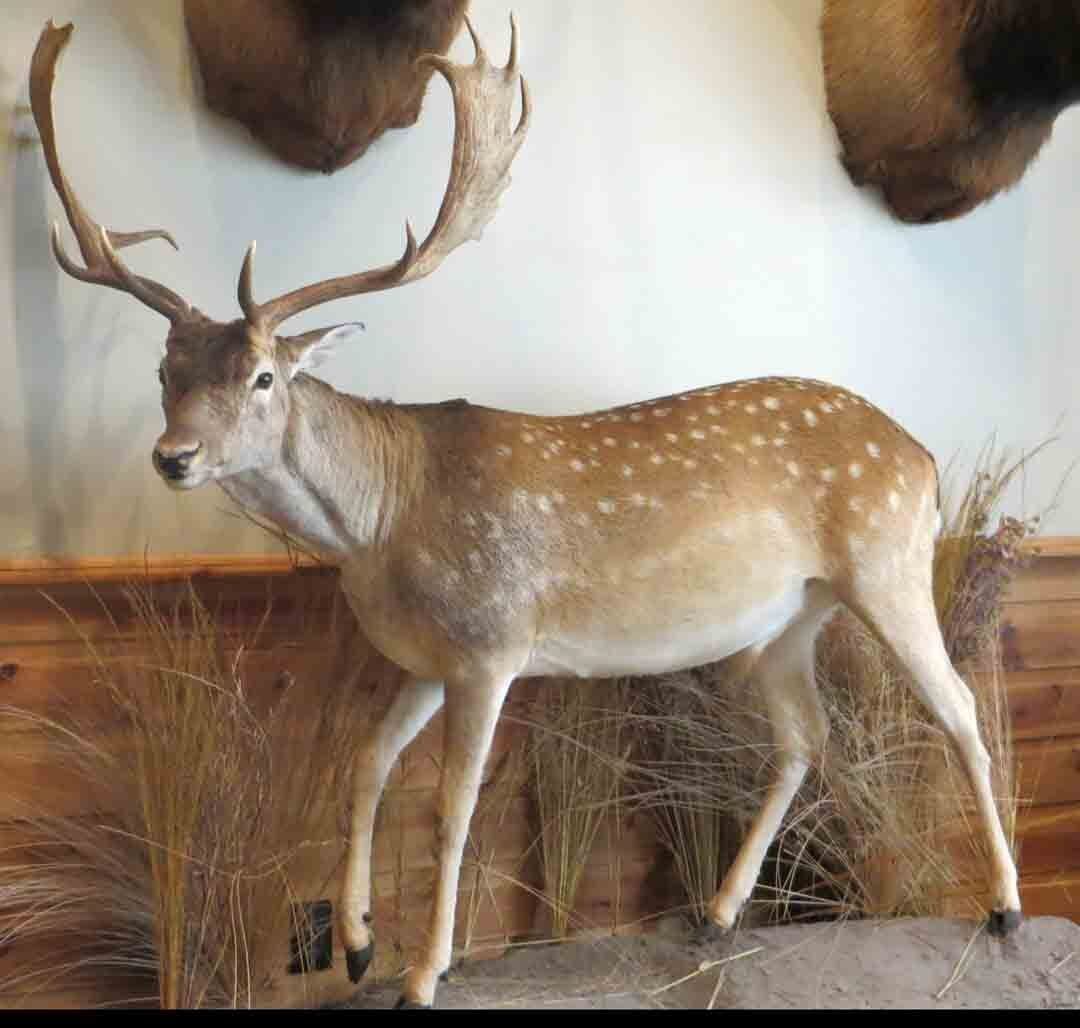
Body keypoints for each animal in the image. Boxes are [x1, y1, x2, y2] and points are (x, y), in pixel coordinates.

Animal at [30, 15, 1022, 1010]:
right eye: (166, 372)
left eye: (264, 376)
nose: (174, 457)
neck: (381, 525)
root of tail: (922, 458)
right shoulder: (430, 658)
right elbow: (367, 764)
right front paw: (356, 944)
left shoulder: (491, 642)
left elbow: (451, 808)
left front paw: (424, 972)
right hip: (791, 617)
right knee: (804, 738)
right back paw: (716, 912)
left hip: (888, 565)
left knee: (961, 709)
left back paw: (1004, 909)